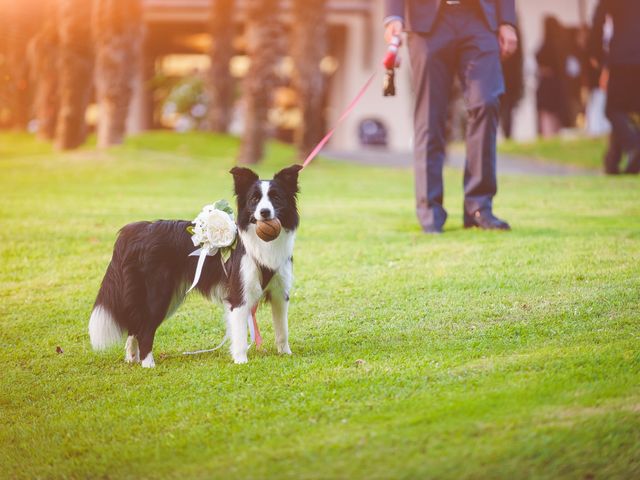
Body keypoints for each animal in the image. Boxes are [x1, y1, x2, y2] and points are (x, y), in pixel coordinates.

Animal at [87, 163, 302, 366]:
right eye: (254, 200)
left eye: (276, 198)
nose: (265, 212)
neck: (263, 244)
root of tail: (135, 229)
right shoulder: (239, 294)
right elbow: (240, 334)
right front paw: (241, 361)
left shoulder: (280, 293)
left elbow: (282, 329)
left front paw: (285, 354)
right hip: (158, 293)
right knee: (145, 328)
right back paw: (148, 364)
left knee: (136, 324)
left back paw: (132, 358)